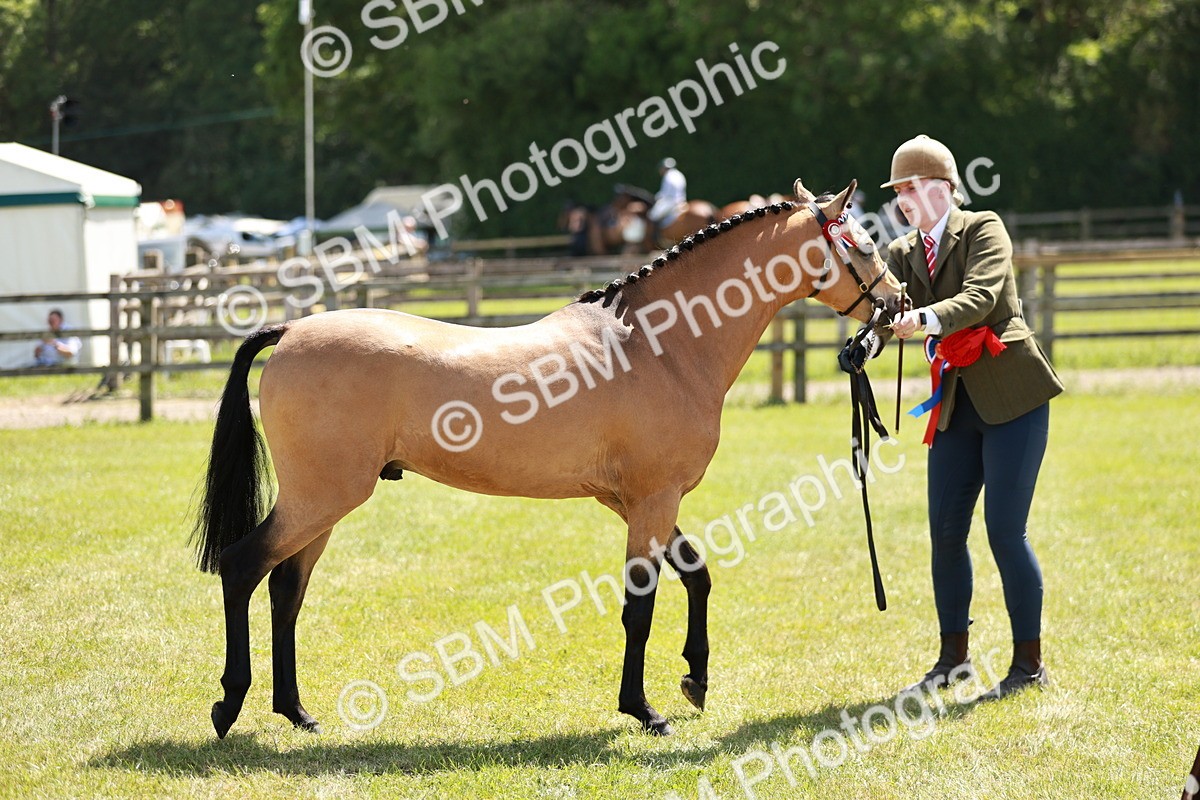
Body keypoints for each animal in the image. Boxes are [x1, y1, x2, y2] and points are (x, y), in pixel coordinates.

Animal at [193, 178, 904, 739]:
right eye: (865, 243)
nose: (897, 305)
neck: (659, 346)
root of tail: (291, 331)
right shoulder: (651, 499)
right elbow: (640, 605)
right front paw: (643, 709)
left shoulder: (637, 500)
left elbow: (696, 575)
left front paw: (694, 681)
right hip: (321, 498)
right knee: (243, 567)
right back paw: (228, 705)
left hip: (323, 505)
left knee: (286, 590)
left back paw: (297, 712)